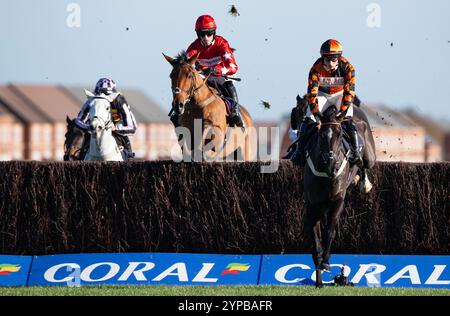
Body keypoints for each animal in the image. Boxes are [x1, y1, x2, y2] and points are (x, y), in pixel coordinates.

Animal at [302, 105, 376, 286]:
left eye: (339, 134)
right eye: (321, 135)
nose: (331, 163)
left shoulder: (337, 201)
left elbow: (329, 231)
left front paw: (326, 263)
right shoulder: (313, 206)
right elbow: (316, 241)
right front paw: (319, 280)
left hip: (370, 156)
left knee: (364, 164)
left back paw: (363, 182)